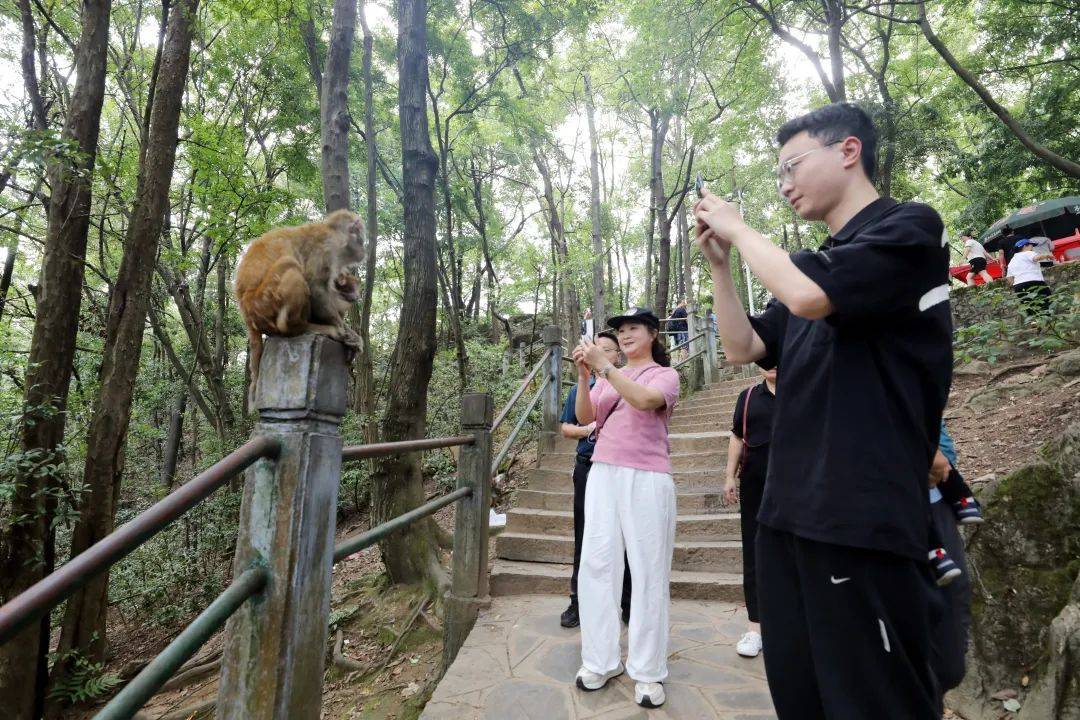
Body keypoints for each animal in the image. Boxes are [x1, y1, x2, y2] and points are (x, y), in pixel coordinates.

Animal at [234, 207, 365, 405]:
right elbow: (315, 285)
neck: (333, 233)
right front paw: (344, 331)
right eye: (362, 237)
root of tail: (246, 311)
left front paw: (353, 338)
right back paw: (303, 328)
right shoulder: (326, 247)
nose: (364, 250)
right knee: (290, 264)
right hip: (264, 301)